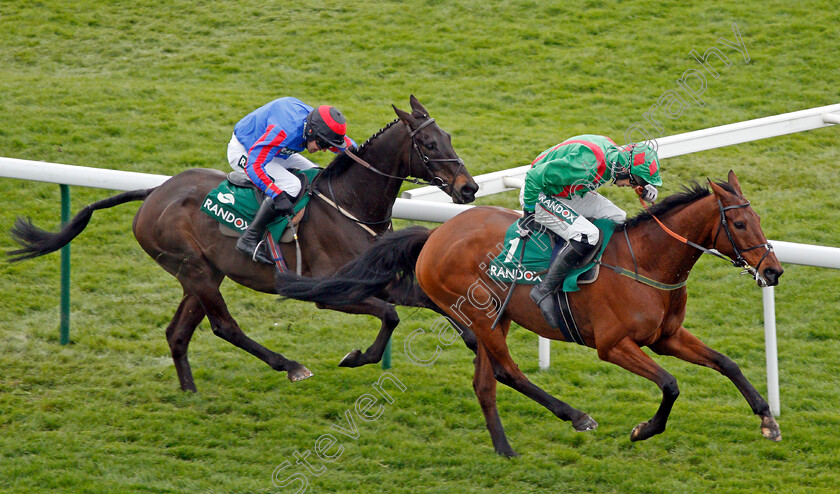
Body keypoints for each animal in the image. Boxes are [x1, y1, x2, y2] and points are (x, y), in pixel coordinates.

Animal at [4, 94, 480, 392]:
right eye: (429, 143)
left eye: (450, 138)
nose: (469, 188)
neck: (350, 205)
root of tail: (154, 192)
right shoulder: (330, 293)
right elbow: (390, 316)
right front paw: (356, 356)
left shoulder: (382, 280)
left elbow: (428, 302)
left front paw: (479, 349)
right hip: (196, 270)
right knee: (224, 326)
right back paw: (289, 366)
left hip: (202, 273)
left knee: (178, 332)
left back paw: (190, 391)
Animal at [278, 172, 788, 458]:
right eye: (739, 223)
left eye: (760, 220)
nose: (774, 270)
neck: (645, 262)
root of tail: (434, 236)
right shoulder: (613, 346)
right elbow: (670, 384)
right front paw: (645, 429)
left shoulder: (666, 337)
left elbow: (727, 363)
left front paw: (767, 419)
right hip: (482, 317)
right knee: (508, 372)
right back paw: (576, 415)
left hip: (493, 317)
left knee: (485, 382)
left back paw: (503, 448)